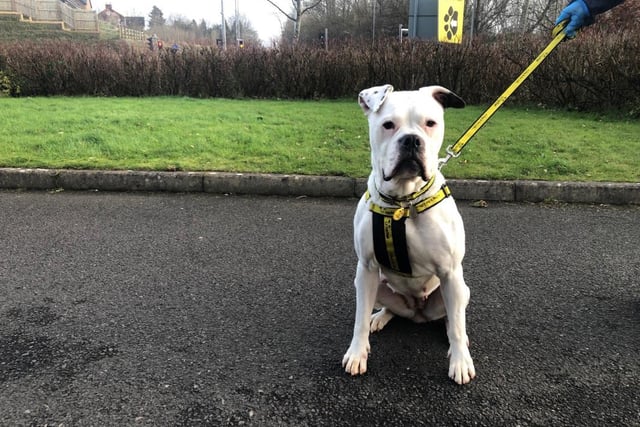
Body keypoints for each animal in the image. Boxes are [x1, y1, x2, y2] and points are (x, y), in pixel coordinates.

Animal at [344, 85, 476, 386]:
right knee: (388, 308)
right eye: (388, 125)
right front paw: (357, 353)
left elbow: (457, 326)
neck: (403, 203)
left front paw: (460, 362)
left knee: (453, 318)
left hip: (460, 289)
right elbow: (358, 319)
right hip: (377, 285)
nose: (412, 141)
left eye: (431, 123)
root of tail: (417, 312)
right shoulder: (366, 269)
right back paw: (380, 317)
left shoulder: (450, 271)